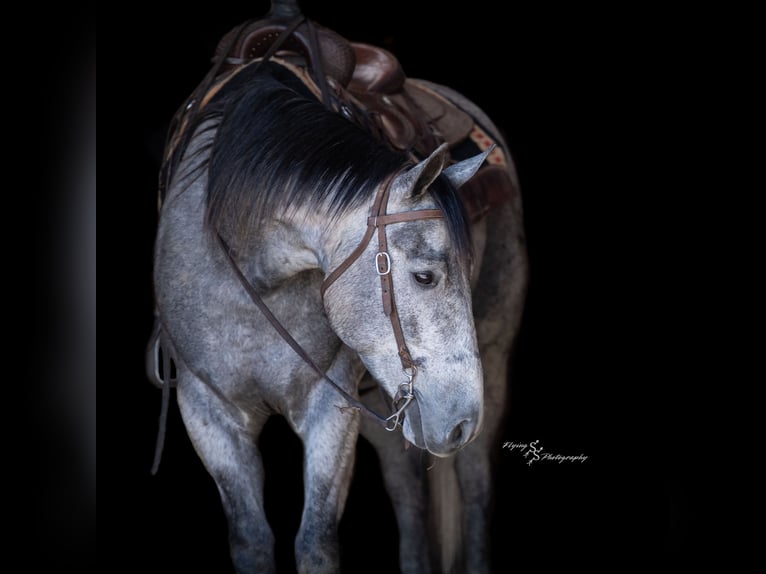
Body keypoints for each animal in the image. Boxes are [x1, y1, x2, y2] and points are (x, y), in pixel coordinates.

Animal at [147, 5, 528, 573]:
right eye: (425, 276)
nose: (461, 420)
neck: (249, 268)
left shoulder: (330, 407)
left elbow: (316, 541)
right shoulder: (209, 411)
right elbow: (252, 540)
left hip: (495, 360)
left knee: (477, 491)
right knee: (408, 496)